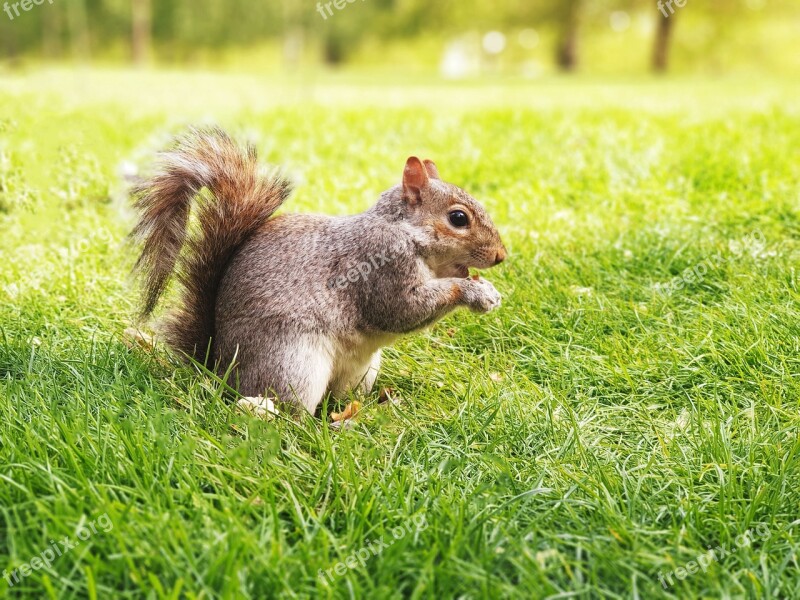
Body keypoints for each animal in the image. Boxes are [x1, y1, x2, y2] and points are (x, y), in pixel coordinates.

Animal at [131, 127, 506, 418]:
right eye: (458, 218)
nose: (501, 256)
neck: (405, 232)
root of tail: (220, 369)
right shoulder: (380, 265)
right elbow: (400, 310)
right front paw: (474, 292)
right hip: (293, 365)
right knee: (291, 411)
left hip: (361, 371)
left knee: (341, 399)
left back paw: (367, 410)